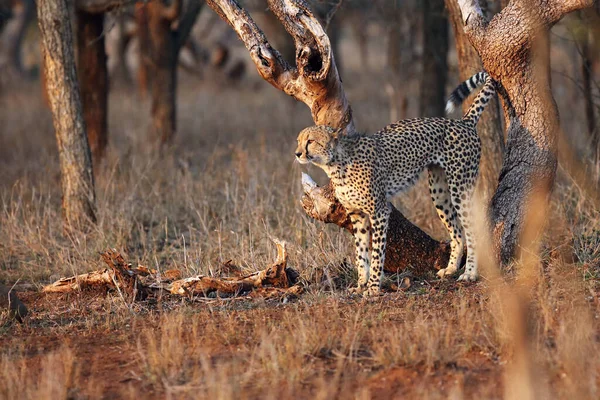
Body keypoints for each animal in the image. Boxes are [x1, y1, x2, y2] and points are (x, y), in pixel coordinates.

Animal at [296, 72, 496, 296]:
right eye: (298, 141)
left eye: (310, 141)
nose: (297, 153)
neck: (335, 165)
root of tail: (463, 123)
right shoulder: (357, 215)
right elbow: (361, 253)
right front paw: (361, 284)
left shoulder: (380, 212)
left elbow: (376, 254)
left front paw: (373, 287)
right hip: (439, 191)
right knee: (457, 231)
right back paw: (451, 268)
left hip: (460, 188)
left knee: (472, 229)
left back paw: (470, 273)